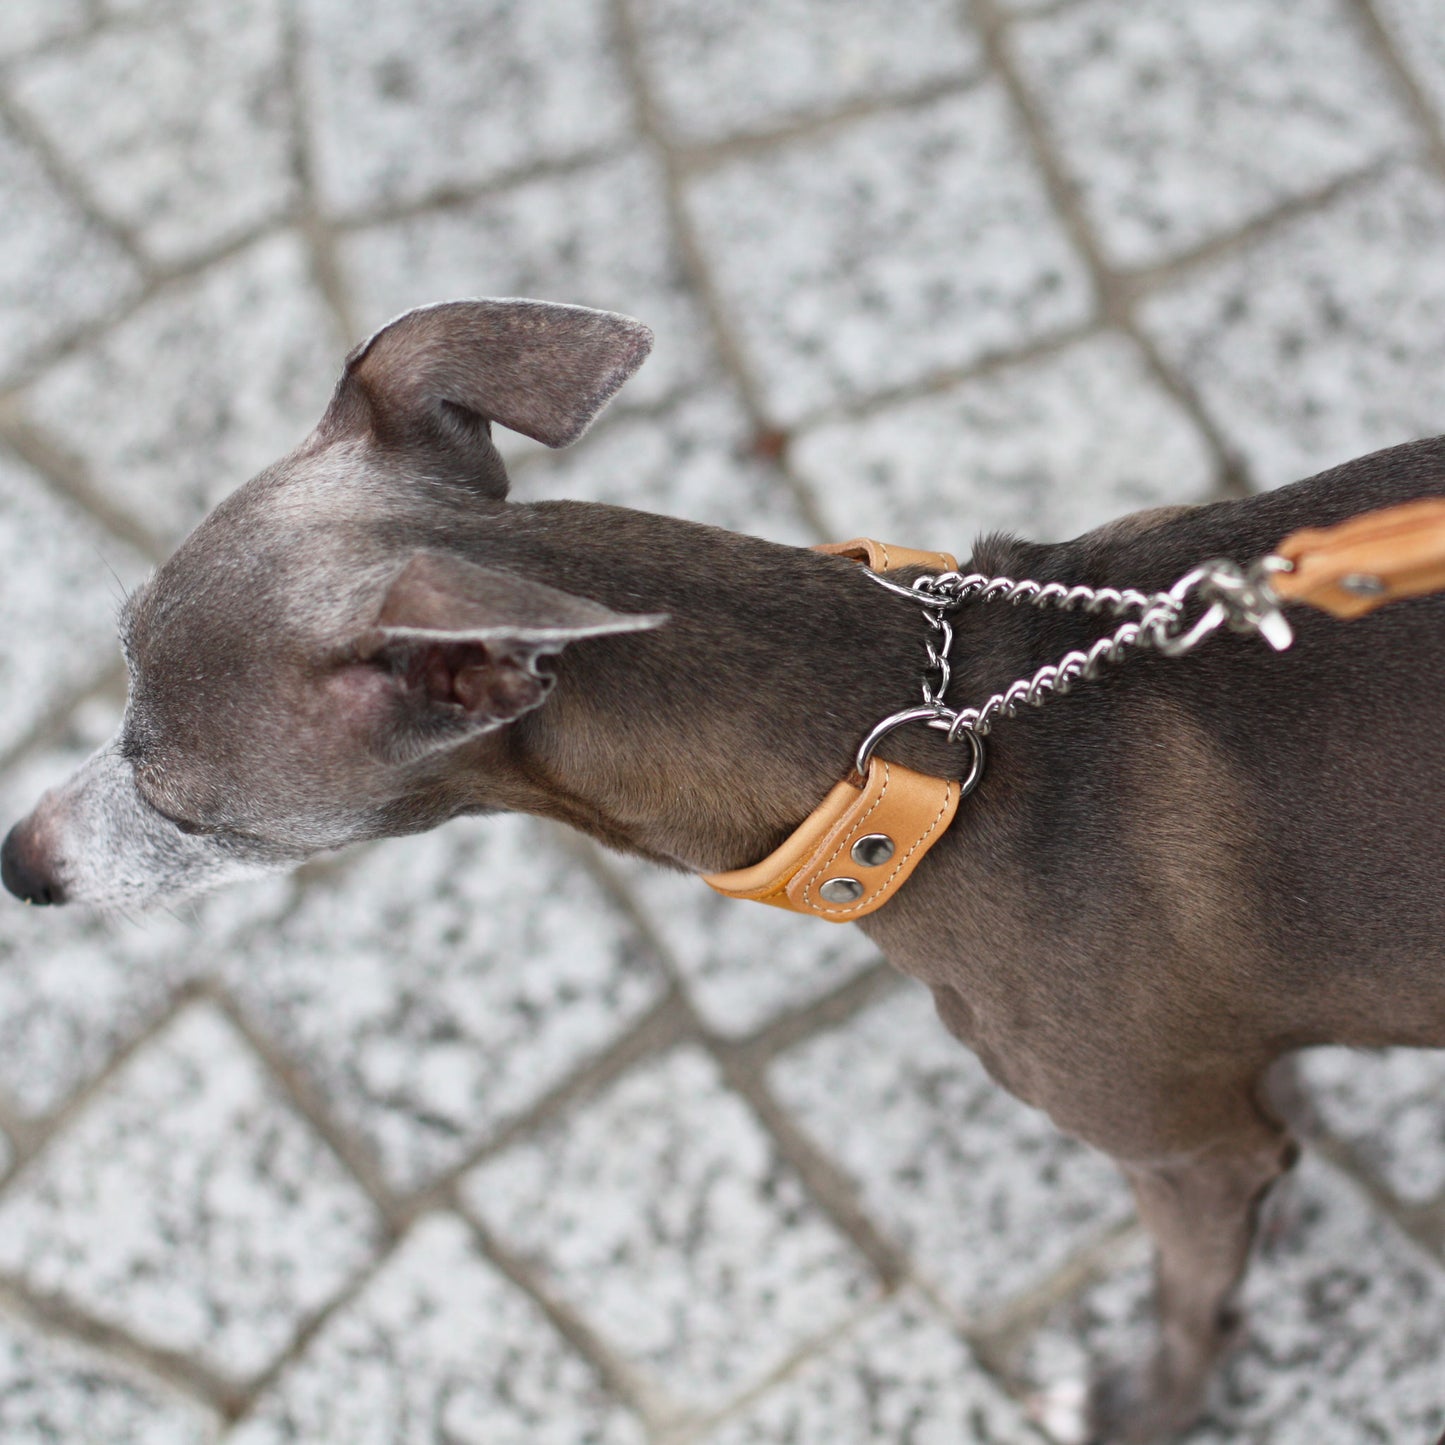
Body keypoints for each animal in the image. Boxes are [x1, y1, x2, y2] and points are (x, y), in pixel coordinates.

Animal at [2, 299, 1445, 1439]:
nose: (19, 865)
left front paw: (1149, 1404)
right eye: (115, 668)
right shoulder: (1221, 1094)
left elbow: (1191, 1294)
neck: (925, 754)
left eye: (186, 811)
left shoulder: (1177, 1143)